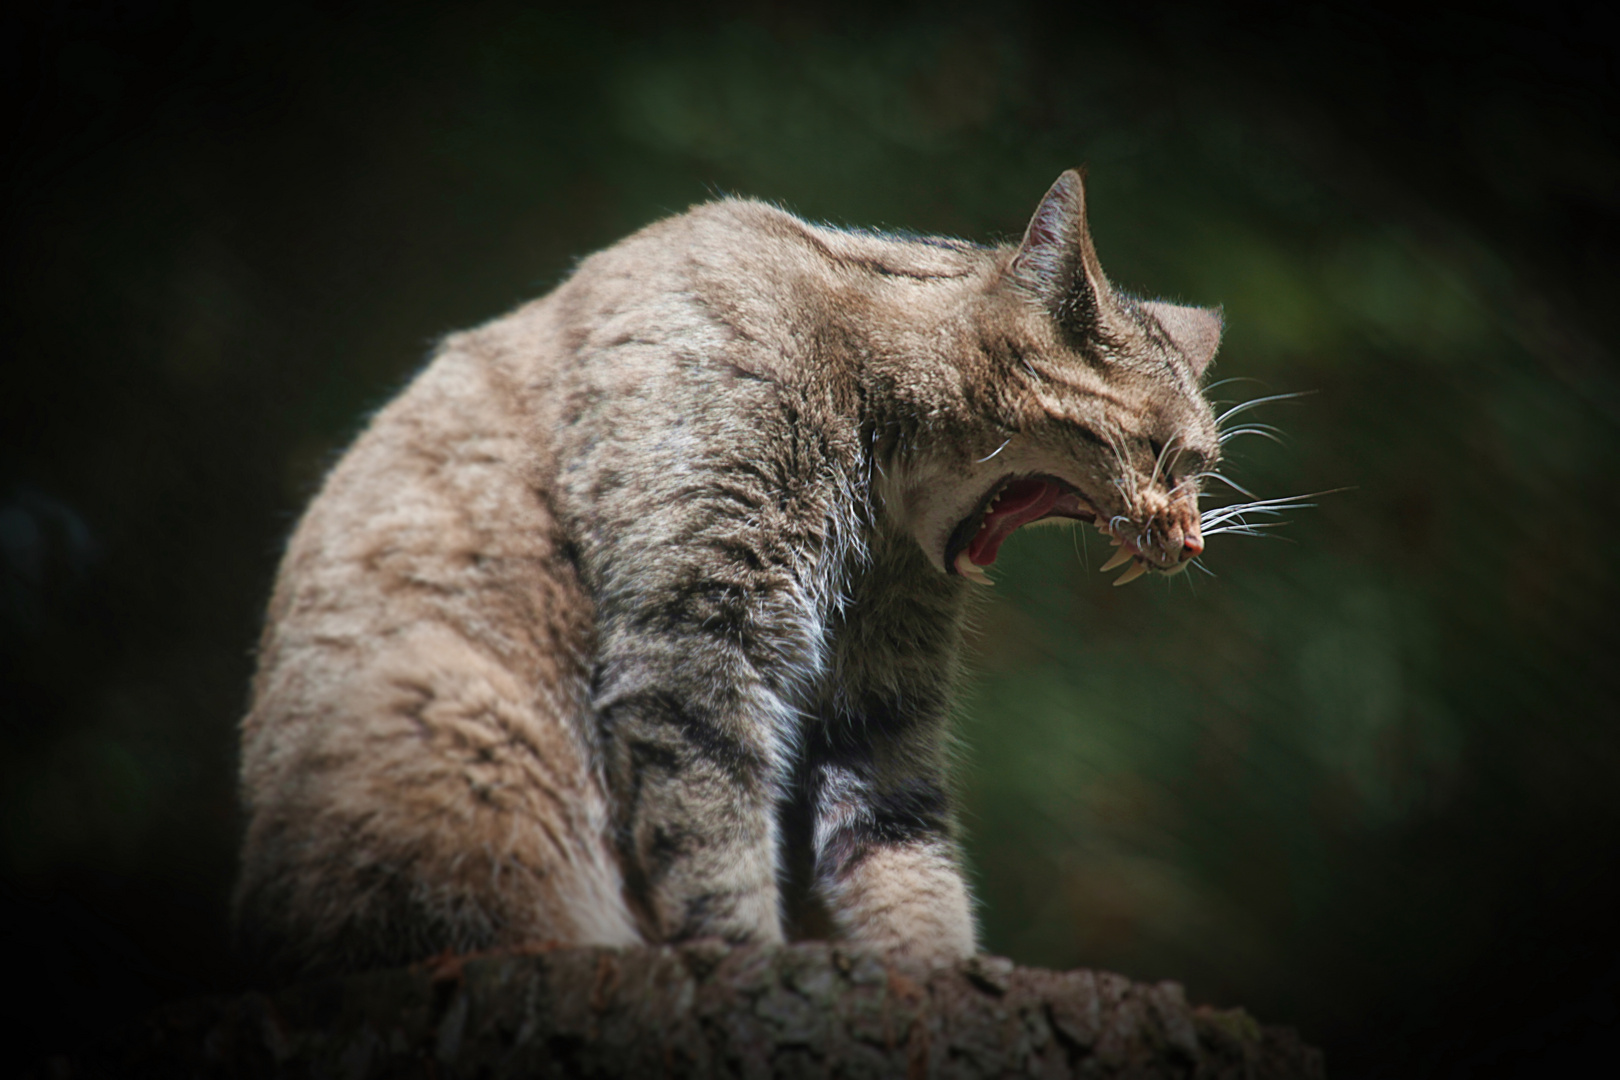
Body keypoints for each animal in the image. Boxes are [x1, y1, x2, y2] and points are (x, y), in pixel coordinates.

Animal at [234, 169, 1218, 977]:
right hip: (464, 722)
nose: (1194, 538)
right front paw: (743, 947)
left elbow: (901, 848)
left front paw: (937, 967)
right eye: (1165, 455)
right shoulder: (697, 635)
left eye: (1203, 465)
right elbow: (714, 829)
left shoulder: (880, 699)